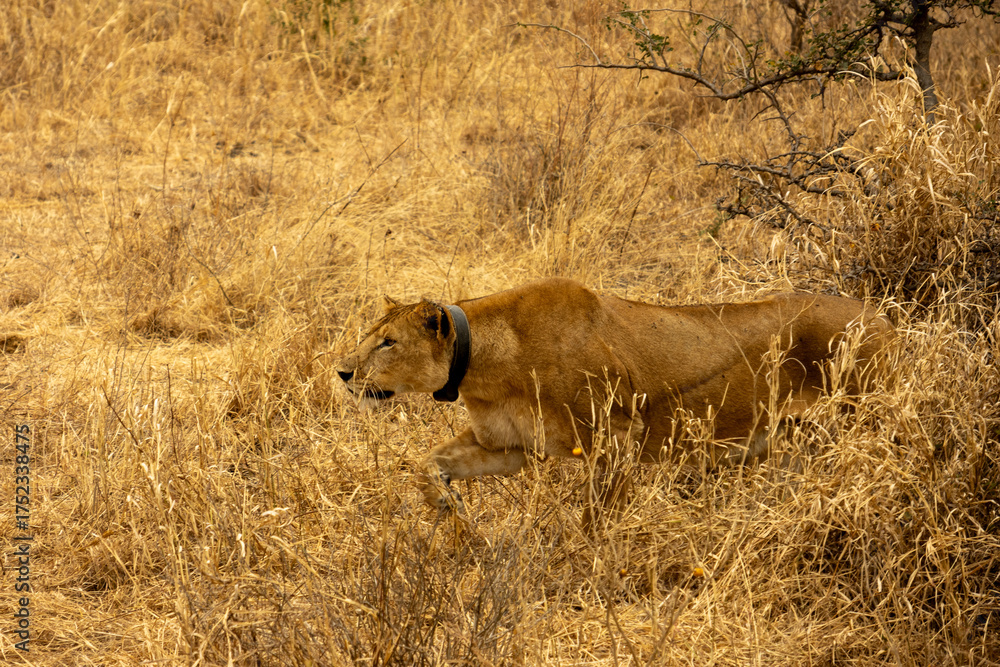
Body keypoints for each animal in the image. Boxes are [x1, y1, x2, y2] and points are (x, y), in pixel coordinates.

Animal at [337, 278, 890, 527]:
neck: (487, 367)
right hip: (796, 440)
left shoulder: (618, 436)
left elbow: (596, 517)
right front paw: (447, 509)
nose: (342, 372)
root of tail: (884, 316)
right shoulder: (508, 447)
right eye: (370, 336)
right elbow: (429, 462)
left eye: (387, 343)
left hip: (867, 420)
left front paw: (583, 563)